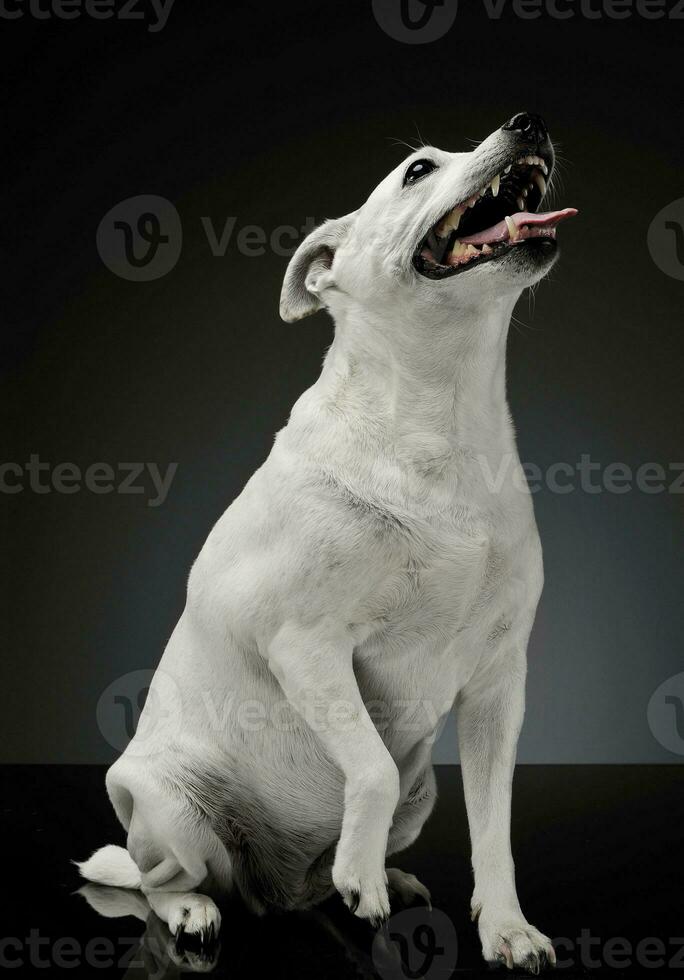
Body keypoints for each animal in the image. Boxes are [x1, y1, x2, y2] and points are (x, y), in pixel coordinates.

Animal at [80, 113, 576, 972]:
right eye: (418, 170)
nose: (527, 123)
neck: (442, 417)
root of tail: (266, 885)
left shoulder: (497, 686)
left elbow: (493, 828)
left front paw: (508, 930)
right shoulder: (308, 649)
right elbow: (368, 767)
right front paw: (360, 874)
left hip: (423, 792)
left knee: (303, 878)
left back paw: (378, 879)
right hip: (167, 806)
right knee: (164, 878)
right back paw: (200, 910)